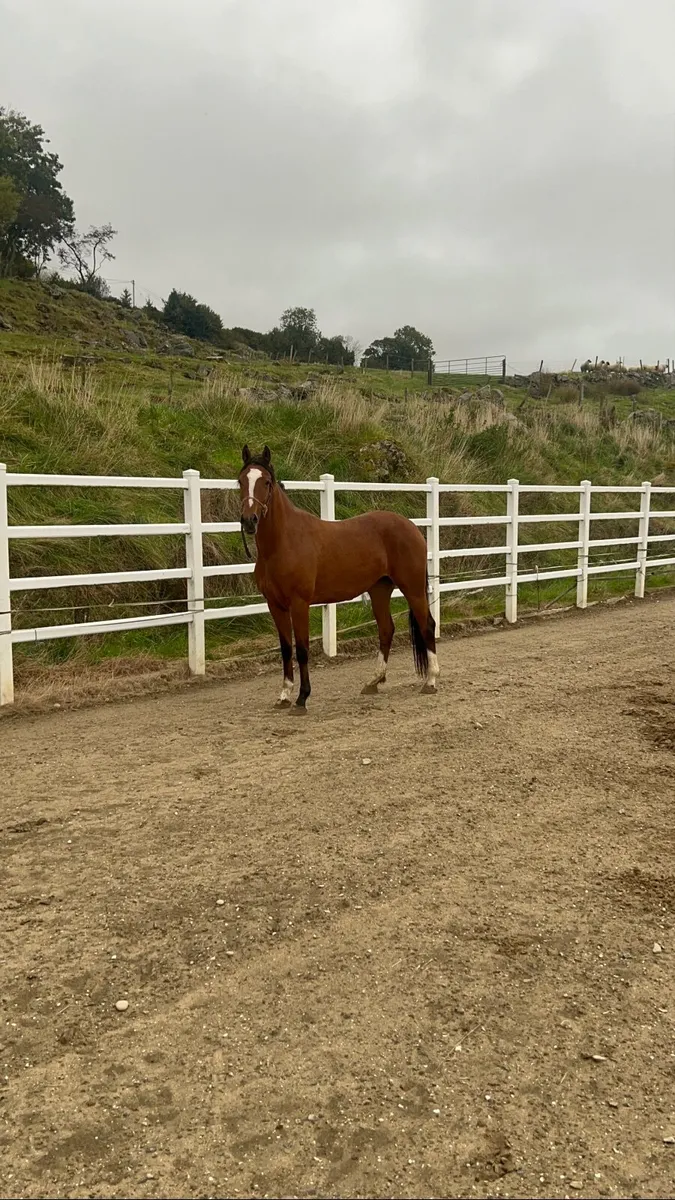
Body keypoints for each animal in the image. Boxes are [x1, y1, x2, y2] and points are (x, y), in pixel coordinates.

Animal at [237, 445, 439, 713]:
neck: (283, 542)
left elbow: (302, 649)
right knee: (386, 630)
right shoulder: (275, 605)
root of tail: (411, 526)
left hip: (413, 588)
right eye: (241, 481)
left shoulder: (299, 603)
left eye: (266, 482)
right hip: (380, 590)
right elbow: (286, 649)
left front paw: (302, 698)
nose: (249, 521)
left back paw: (431, 681)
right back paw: (373, 682)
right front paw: (284, 696)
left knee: (427, 625)